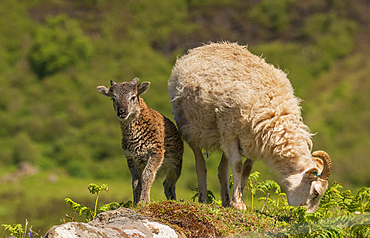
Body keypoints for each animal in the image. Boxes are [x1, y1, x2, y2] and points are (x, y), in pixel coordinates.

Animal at [168, 41, 332, 212]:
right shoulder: (230, 133)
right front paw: (239, 203)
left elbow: (246, 170)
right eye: (315, 192)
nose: (305, 216)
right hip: (191, 130)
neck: (276, 113)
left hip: (222, 138)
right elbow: (237, 165)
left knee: (222, 169)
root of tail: (204, 46)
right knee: (201, 164)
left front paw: (237, 199)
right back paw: (203, 198)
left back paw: (226, 200)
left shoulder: (255, 142)